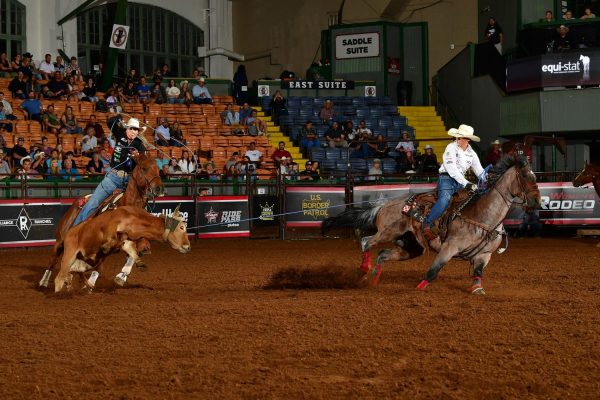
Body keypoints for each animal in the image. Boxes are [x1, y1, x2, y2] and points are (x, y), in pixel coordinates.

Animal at [38, 152, 163, 288]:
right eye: (144, 168)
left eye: (158, 169)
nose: (159, 188)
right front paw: (91, 283)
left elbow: (136, 251)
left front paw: (122, 276)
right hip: (60, 240)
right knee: (53, 259)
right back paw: (44, 281)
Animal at [322, 154, 540, 294]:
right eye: (525, 176)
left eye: (535, 176)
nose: (537, 201)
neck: (483, 216)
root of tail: (386, 204)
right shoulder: (449, 247)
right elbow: (434, 270)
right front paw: (419, 288)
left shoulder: (484, 255)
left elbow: (478, 273)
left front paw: (477, 288)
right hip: (387, 233)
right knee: (366, 241)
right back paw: (364, 269)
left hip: (411, 246)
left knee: (382, 254)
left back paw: (373, 279)